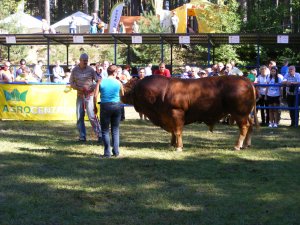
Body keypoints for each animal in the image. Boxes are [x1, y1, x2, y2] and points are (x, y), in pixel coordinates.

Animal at [120, 75, 256, 151]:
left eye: (128, 88)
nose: (121, 95)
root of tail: (247, 81)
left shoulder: (176, 113)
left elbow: (177, 131)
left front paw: (179, 147)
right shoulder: (168, 117)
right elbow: (173, 132)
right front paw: (172, 144)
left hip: (239, 113)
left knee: (244, 127)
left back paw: (237, 146)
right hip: (246, 114)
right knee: (251, 125)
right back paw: (246, 145)